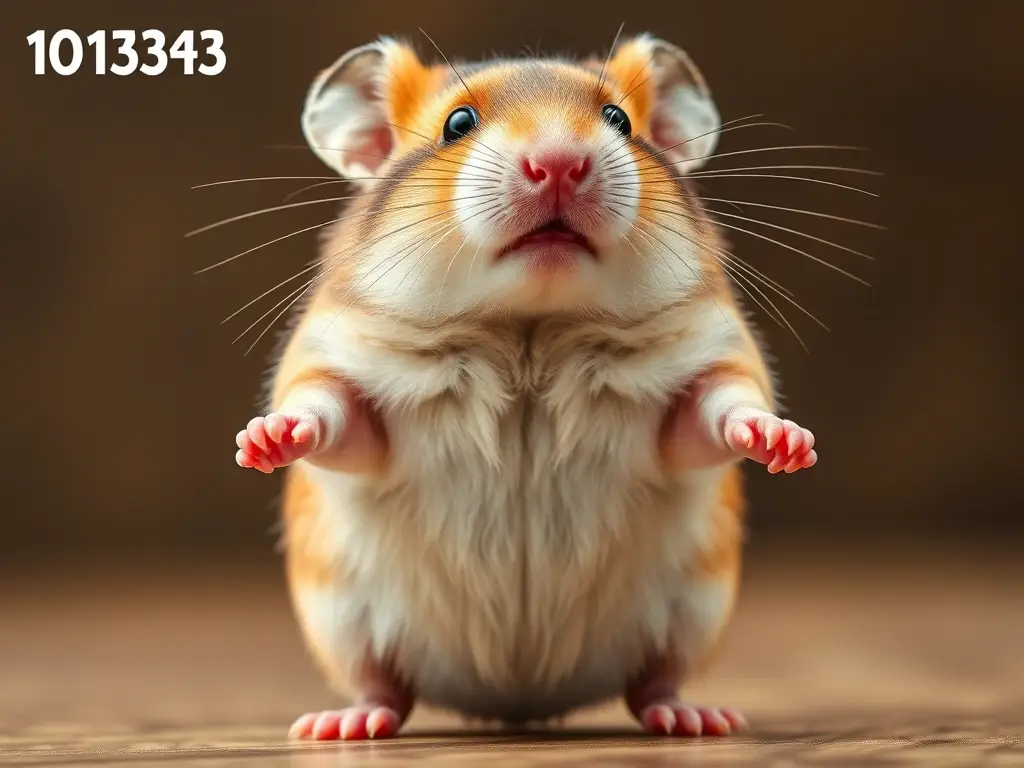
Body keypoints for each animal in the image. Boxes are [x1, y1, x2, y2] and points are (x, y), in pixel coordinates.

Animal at [232, 33, 817, 741]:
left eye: (620, 120)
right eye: (457, 124)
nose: (559, 164)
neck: (528, 332)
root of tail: (518, 702)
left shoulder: (711, 362)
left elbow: (720, 409)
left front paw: (788, 446)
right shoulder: (338, 369)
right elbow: (328, 415)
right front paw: (263, 443)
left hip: (693, 613)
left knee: (653, 682)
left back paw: (698, 719)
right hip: (343, 622)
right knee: (384, 686)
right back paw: (340, 725)